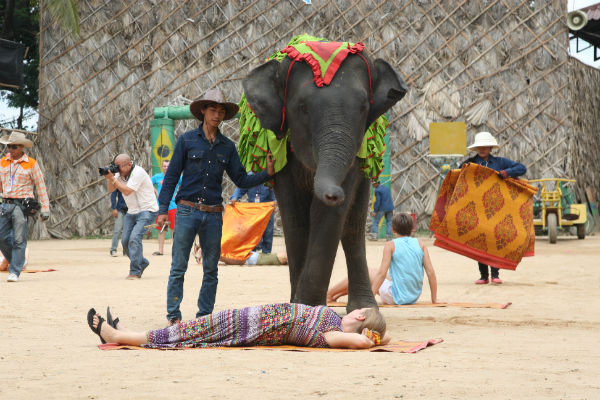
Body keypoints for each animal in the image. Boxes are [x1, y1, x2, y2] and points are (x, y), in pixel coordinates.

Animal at [243, 49, 408, 312]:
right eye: (302, 107)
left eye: (363, 107)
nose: (334, 193)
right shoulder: (282, 153)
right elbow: (296, 218)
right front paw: (301, 310)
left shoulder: (355, 158)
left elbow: (329, 216)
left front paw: (309, 309)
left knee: (353, 225)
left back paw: (365, 310)